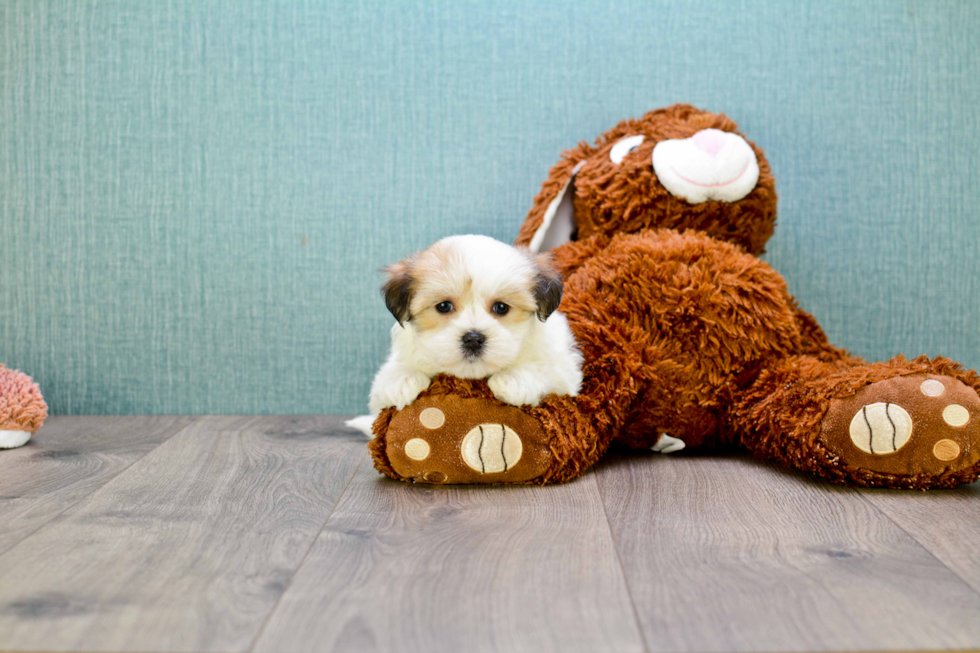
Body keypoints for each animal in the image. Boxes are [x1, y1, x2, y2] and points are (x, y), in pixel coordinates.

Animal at [346, 232, 580, 436]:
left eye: (501, 307)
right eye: (444, 306)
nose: (473, 339)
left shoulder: (564, 370)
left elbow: (545, 368)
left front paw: (513, 380)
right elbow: (389, 380)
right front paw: (403, 379)